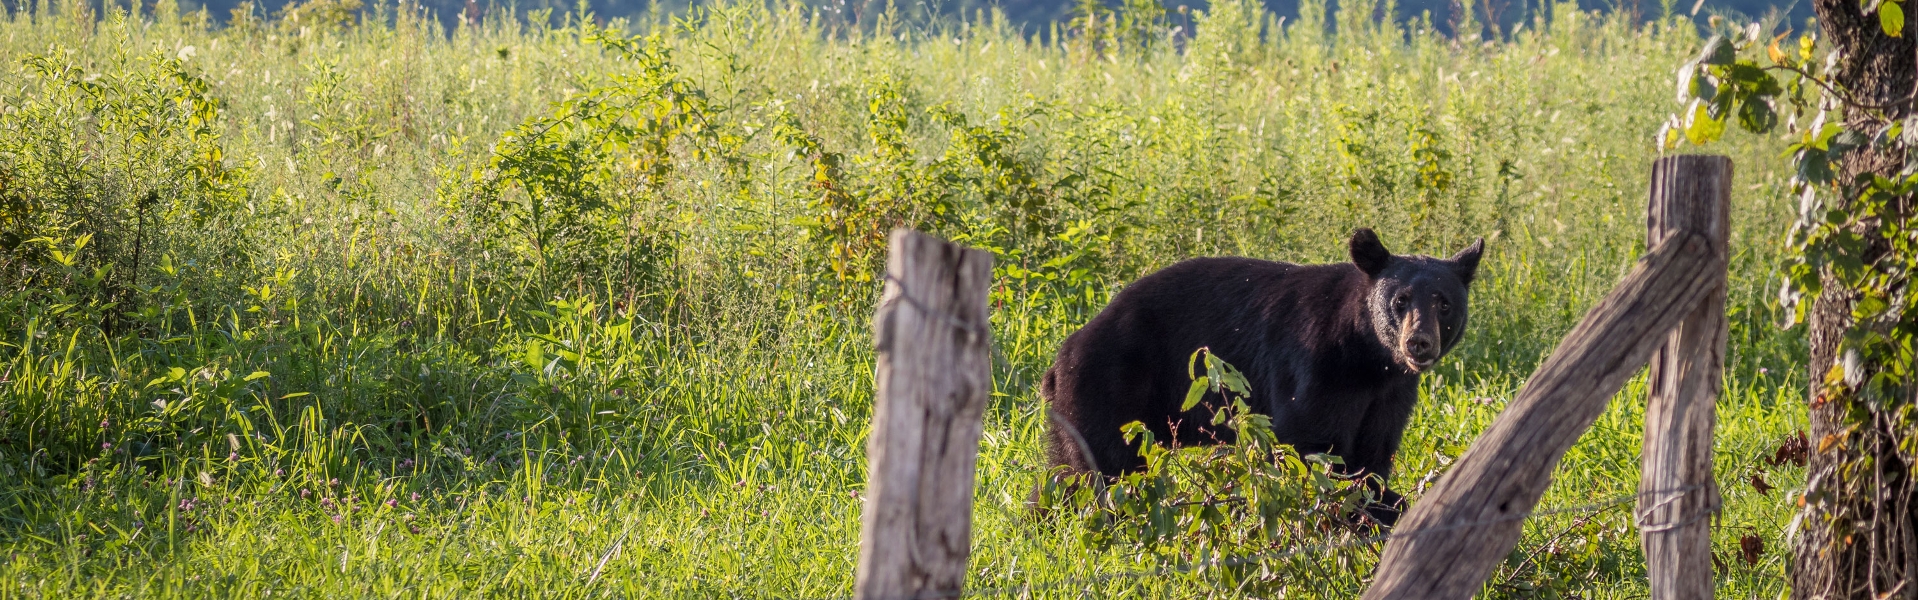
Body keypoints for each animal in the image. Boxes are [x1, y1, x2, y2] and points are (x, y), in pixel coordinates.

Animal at [1051, 226, 1480, 521]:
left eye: (1443, 303)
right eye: (1400, 301)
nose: (1419, 343)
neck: (1369, 358)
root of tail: (1060, 359)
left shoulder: (1391, 394)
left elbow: (1372, 455)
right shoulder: (1317, 367)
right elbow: (1310, 448)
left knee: (1064, 474)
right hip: (1110, 390)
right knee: (1108, 471)